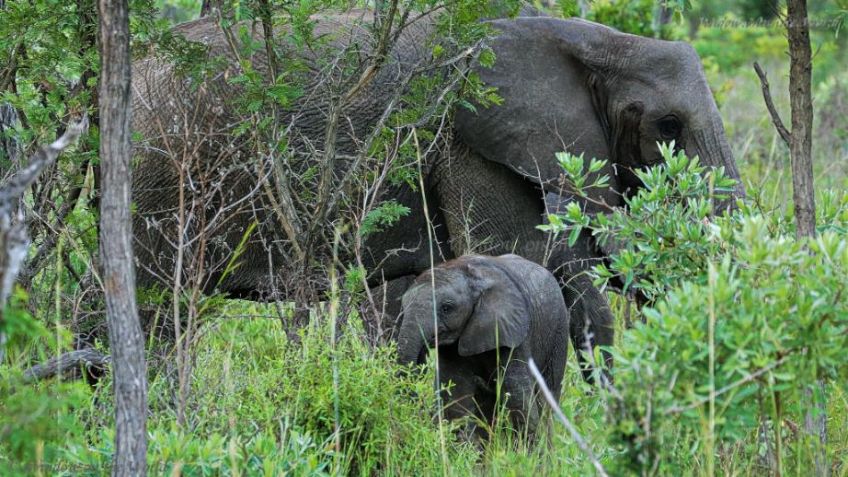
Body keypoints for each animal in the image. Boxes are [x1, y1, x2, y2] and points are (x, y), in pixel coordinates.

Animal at [128, 9, 743, 374]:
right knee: (148, 313)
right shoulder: (467, 131)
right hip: (155, 176)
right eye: (668, 126)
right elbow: (521, 256)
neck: (587, 38)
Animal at [396, 254, 569, 435]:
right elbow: (456, 395)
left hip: (559, 329)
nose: (421, 357)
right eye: (403, 307)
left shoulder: (514, 333)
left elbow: (517, 395)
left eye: (446, 308)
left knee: (547, 394)